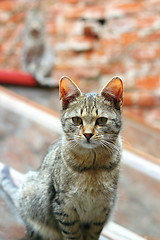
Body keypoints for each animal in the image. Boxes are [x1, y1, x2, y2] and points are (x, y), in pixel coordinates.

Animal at [0, 76, 123, 239]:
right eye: (76, 120)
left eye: (101, 121)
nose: (88, 134)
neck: (93, 165)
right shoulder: (65, 206)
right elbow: (72, 234)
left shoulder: (102, 209)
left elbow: (92, 234)